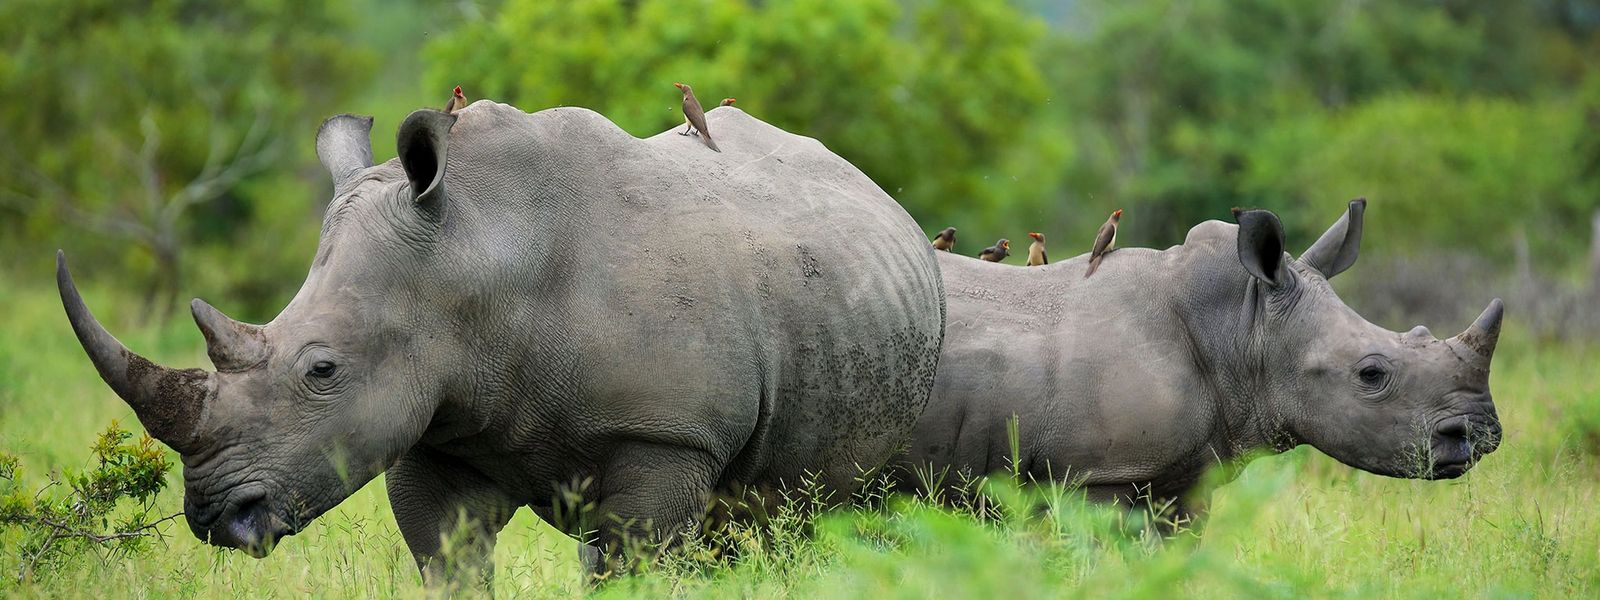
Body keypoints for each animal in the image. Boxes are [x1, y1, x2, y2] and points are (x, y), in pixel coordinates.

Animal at [57, 101, 945, 582]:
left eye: (322, 370)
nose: (216, 518)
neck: (478, 259)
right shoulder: (433, 422)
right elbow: (449, 560)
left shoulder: (668, 434)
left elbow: (631, 562)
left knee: (812, 512)